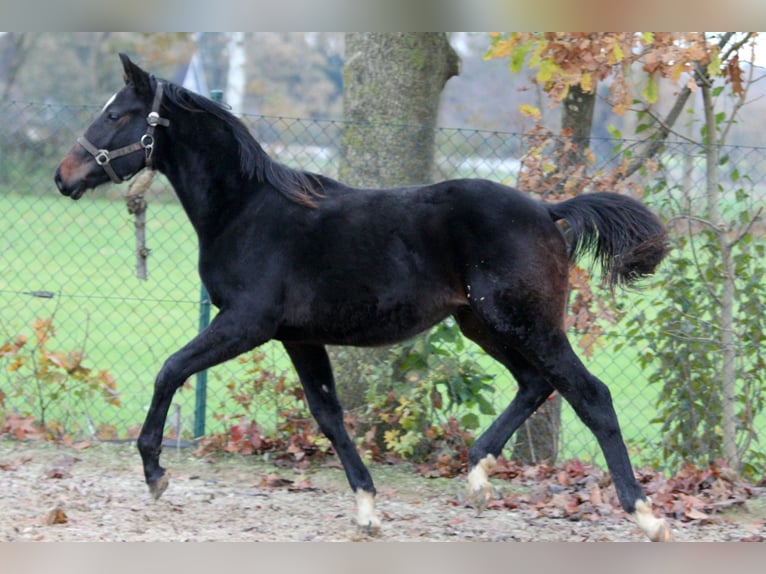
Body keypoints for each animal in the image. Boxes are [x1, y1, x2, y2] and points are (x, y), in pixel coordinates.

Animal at [55, 51, 672, 544]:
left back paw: (646, 515)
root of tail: (549, 210)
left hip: (525, 322)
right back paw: (476, 475)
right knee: (535, 384)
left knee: (590, 394)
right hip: (484, 324)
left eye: (116, 115)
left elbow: (170, 369)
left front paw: (155, 473)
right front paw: (368, 507)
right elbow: (328, 415)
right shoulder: (298, 337)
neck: (247, 211)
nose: (64, 176)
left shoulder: (245, 323)